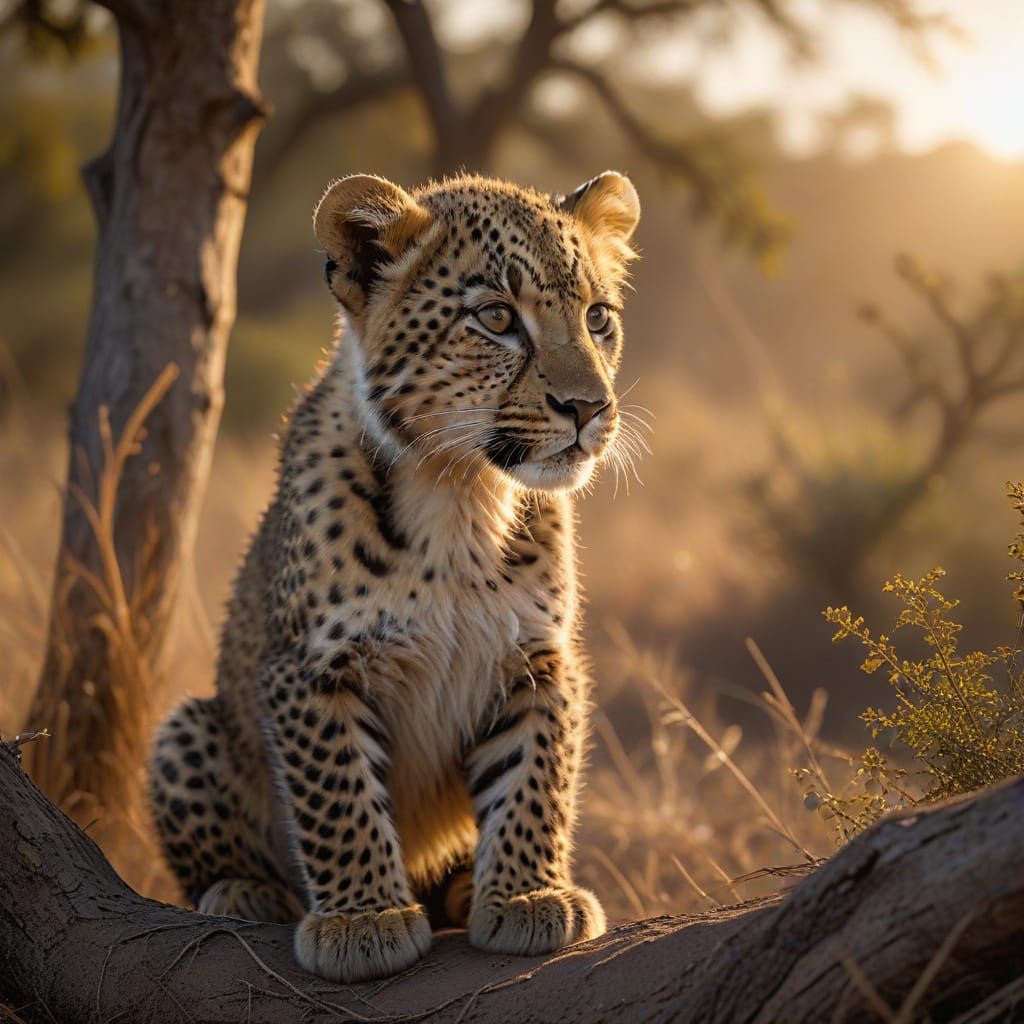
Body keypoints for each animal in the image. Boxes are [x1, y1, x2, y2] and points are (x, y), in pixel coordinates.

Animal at [148, 169, 641, 983]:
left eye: (598, 318)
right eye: (496, 318)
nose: (589, 408)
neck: (461, 494)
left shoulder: (538, 658)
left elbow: (534, 776)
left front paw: (529, 896)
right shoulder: (312, 667)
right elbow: (338, 794)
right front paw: (365, 920)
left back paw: (465, 886)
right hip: (186, 725)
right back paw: (246, 891)